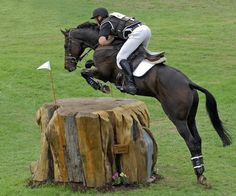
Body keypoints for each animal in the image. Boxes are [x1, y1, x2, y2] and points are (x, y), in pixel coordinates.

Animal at [61, 22, 232, 186]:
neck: (104, 45)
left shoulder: (104, 73)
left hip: (177, 118)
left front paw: (101, 87)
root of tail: (188, 83)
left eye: (66, 46)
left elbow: (86, 72)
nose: (67, 67)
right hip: (190, 118)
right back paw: (201, 173)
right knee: (197, 139)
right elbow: (88, 66)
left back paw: (199, 174)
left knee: (191, 141)